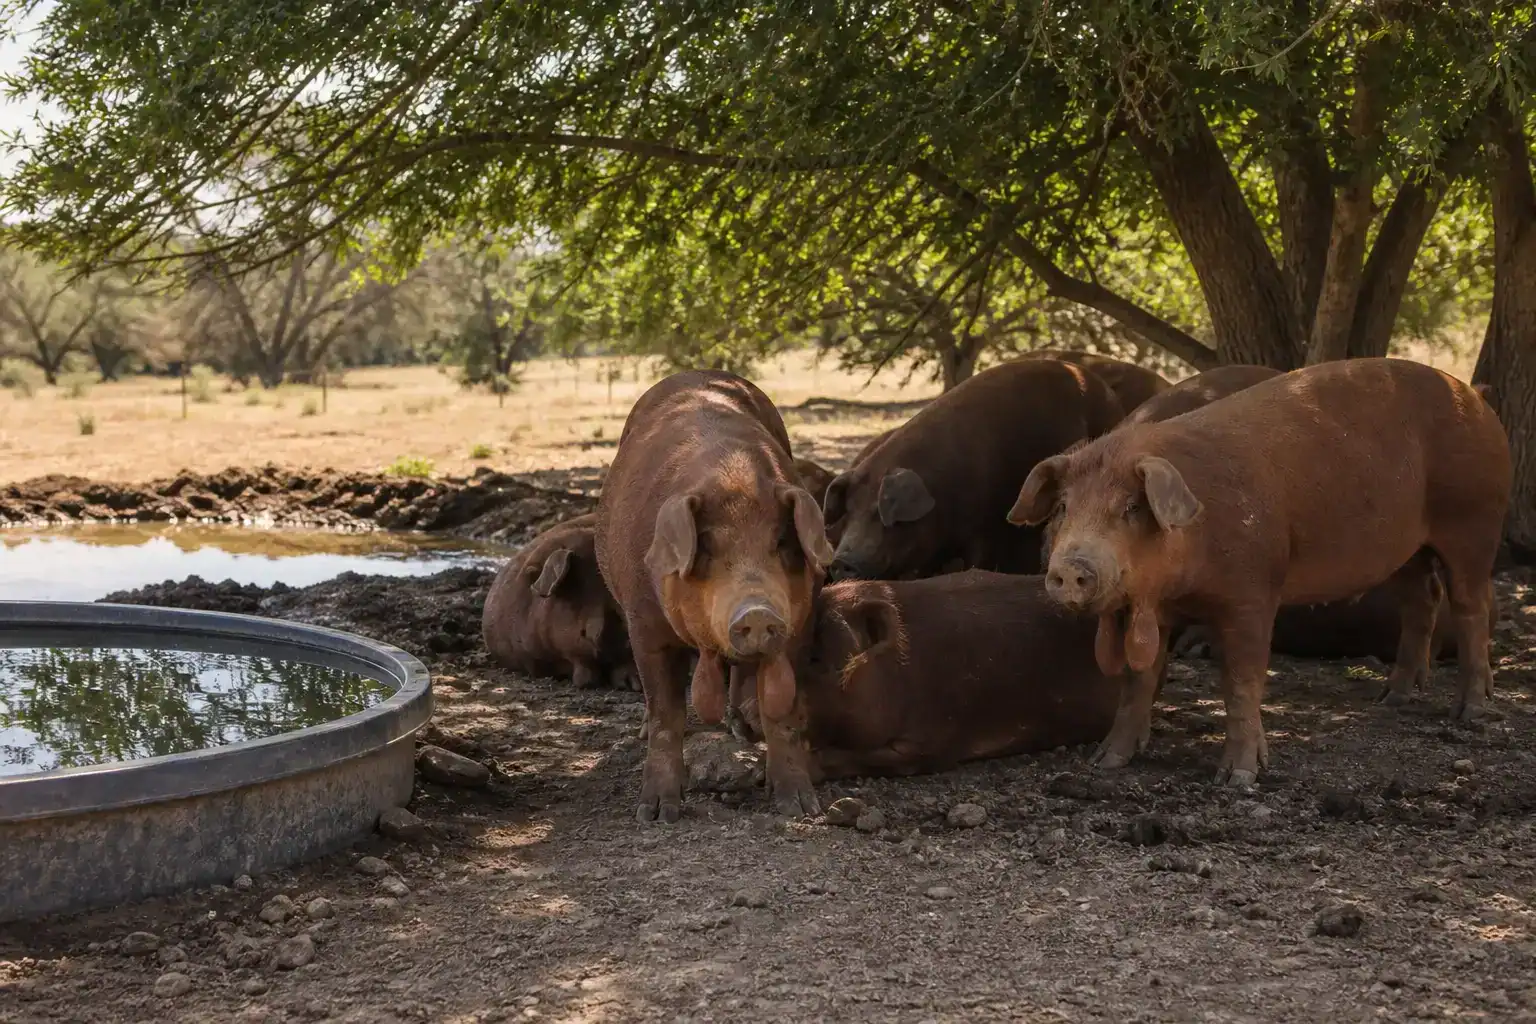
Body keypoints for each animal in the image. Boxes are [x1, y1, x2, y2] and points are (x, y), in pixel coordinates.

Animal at [596, 370, 833, 822]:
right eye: (706, 545)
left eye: (781, 542)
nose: (757, 611)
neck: (733, 477)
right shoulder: (644, 625)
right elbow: (666, 711)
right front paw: (656, 814)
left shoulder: (802, 623)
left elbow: (784, 714)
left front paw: (801, 809)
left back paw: (739, 727)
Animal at [824, 358, 1123, 581]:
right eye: (849, 512)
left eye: (881, 513)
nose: (840, 561)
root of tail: (1108, 393)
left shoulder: (984, 529)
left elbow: (978, 563)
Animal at [1011, 357, 1511, 786]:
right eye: (1062, 507)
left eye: (1131, 508)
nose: (1071, 568)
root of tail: (1475, 398)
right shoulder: (1155, 608)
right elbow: (1139, 680)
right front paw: (1106, 762)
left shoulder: (1252, 593)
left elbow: (1242, 681)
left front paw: (1238, 779)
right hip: (1404, 550)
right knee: (1422, 599)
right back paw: (1393, 698)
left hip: (1476, 522)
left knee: (1471, 605)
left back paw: (1471, 711)